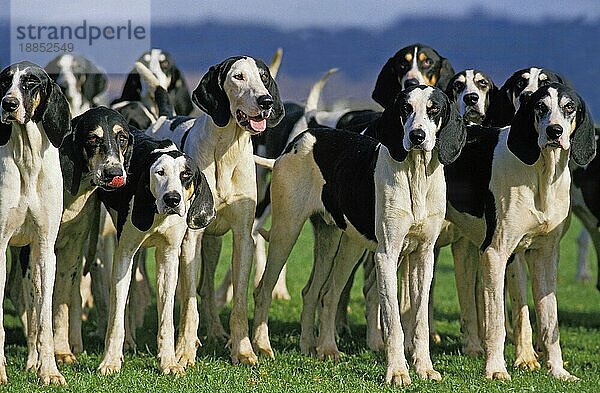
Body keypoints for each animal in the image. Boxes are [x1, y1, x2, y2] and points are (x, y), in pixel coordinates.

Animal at [95, 129, 213, 374]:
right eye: (160, 173)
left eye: (186, 175)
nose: (172, 199)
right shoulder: (124, 254)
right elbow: (116, 315)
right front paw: (110, 361)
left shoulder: (169, 257)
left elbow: (166, 317)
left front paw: (169, 361)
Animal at [146, 55, 284, 364]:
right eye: (238, 77)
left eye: (264, 77)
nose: (266, 101)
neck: (226, 151)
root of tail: (166, 115)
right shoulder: (190, 240)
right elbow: (188, 304)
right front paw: (184, 351)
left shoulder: (243, 237)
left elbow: (239, 301)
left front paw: (243, 350)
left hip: (214, 244)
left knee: (207, 288)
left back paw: (217, 331)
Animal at [251, 84, 466, 384]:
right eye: (406, 108)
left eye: (434, 109)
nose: (417, 136)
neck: (416, 175)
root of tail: (301, 139)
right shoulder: (386, 256)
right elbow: (393, 321)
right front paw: (397, 372)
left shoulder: (424, 256)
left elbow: (420, 319)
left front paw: (424, 367)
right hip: (287, 232)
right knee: (264, 290)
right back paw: (262, 346)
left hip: (339, 245)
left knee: (320, 293)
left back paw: (318, 347)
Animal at [442, 82, 592, 380]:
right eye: (540, 107)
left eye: (569, 107)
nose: (554, 132)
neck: (541, 173)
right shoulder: (495, 254)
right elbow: (497, 322)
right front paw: (496, 370)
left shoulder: (545, 257)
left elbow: (549, 322)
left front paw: (558, 370)